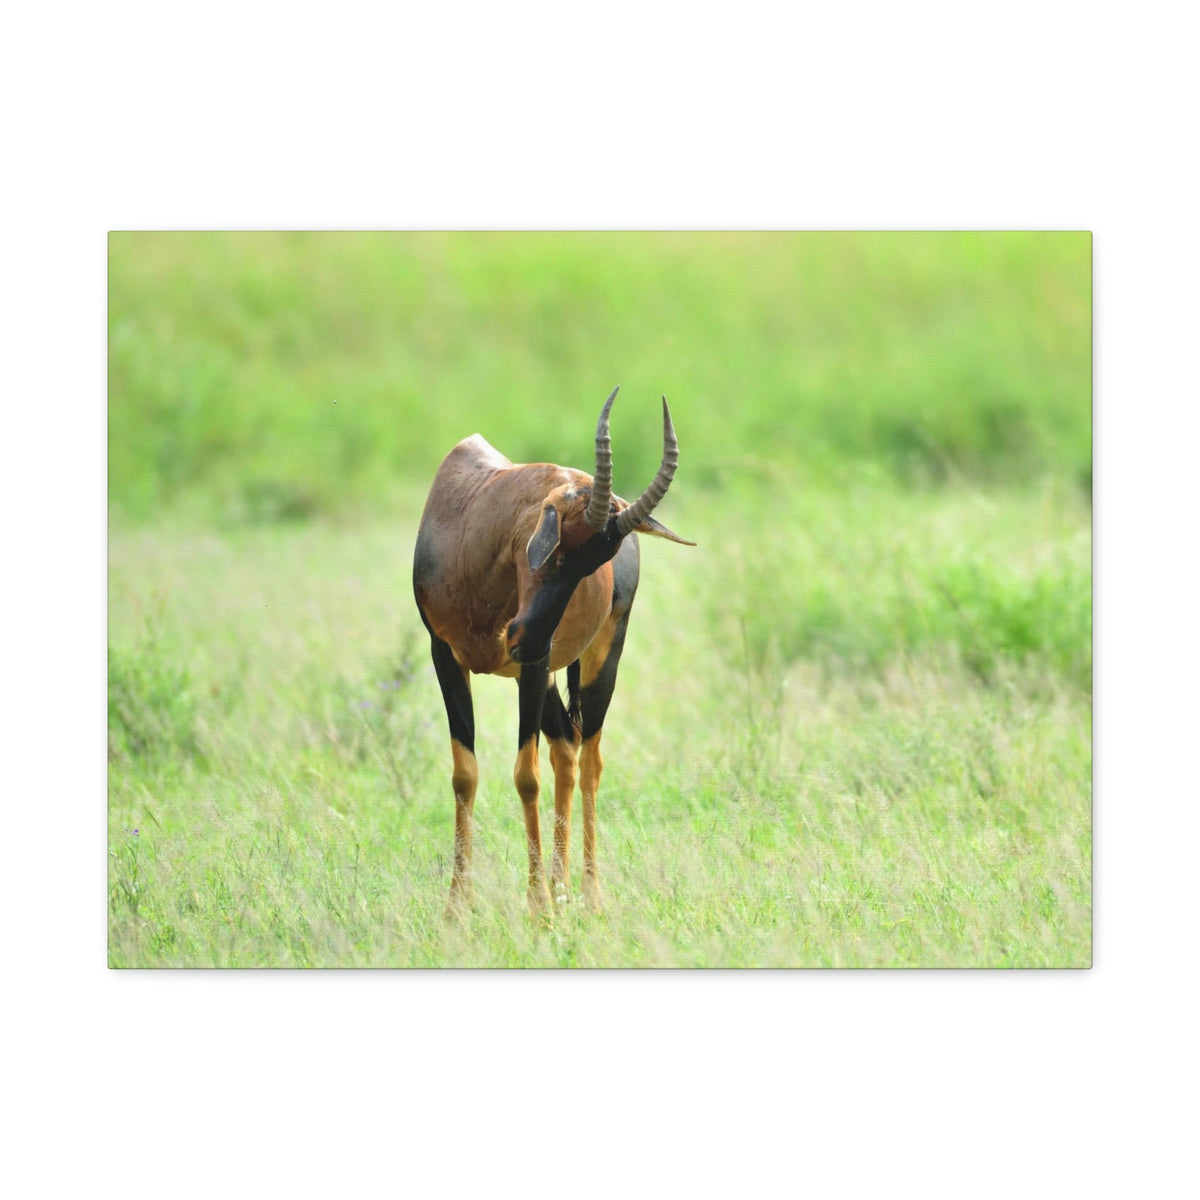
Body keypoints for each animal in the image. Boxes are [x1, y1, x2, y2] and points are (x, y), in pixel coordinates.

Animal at [413, 387, 693, 914]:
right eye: (558, 545)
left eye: (596, 563)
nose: (520, 636)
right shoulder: (445, 655)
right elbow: (465, 773)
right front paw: (457, 909)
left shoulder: (535, 665)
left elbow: (526, 775)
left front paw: (537, 908)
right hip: (542, 676)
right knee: (565, 747)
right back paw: (562, 889)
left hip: (594, 659)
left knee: (590, 758)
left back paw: (587, 894)